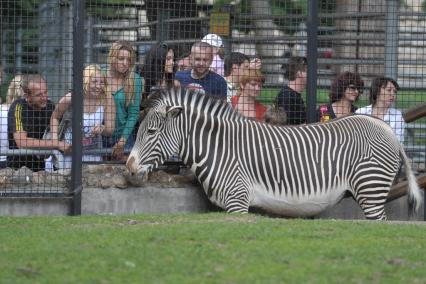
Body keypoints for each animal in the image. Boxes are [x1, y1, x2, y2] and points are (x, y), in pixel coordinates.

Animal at [125, 87, 422, 221]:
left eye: (151, 132)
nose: (128, 167)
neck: (218, 146)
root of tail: (385, 127)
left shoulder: (238, 201)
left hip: (371, 189)